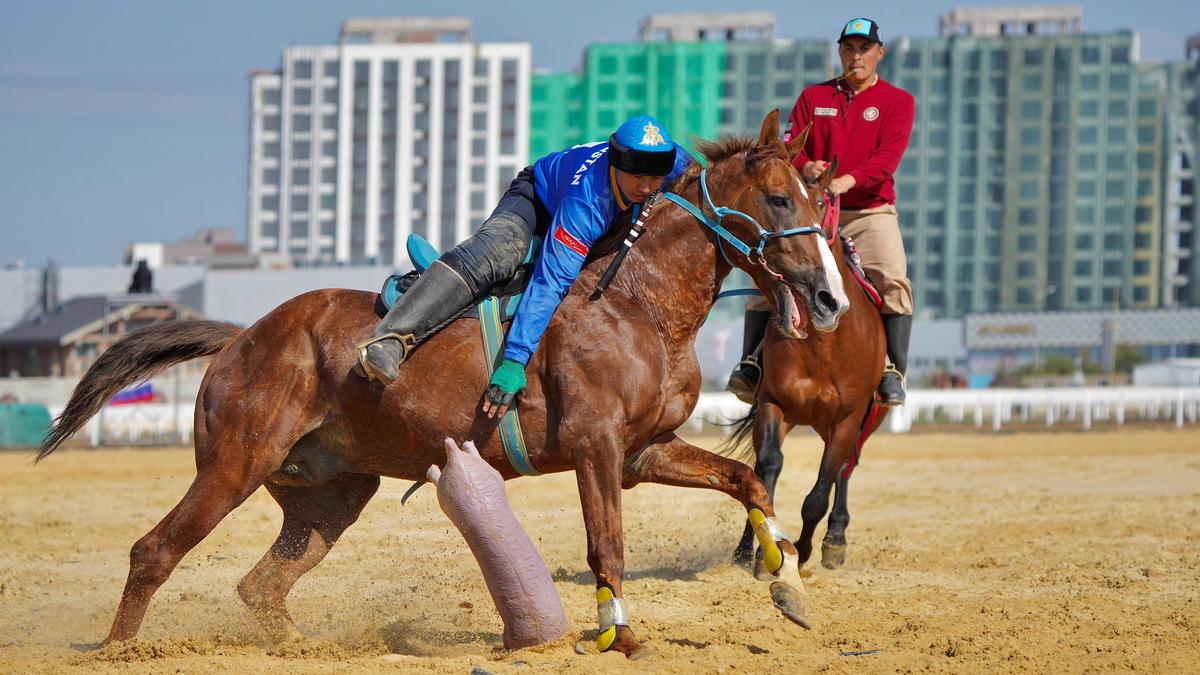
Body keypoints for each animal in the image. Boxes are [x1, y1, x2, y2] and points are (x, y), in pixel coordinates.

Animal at [37, 111, 844, 658]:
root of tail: (240, 337)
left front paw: (789, 583)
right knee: (153, 551)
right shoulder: (598, 447)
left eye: (816, 201)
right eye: (779, 200)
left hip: (331, 493)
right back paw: (120, 651)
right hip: (234, 464)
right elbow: (606, 545)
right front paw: (619, 634)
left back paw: (297, 648)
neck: (636, 300)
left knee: (261, 585)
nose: (831, 297)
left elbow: (746, 479)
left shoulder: (645, 450)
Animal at [720, 190, 892, 571]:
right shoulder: (773, 404)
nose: (827, 298)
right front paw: (755, 550)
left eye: (823, 203)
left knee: (845, 469)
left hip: (867, 421)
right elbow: (765, 469)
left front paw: (803, 550)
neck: (823, 346)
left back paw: (835, 539)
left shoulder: (847, 420)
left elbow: (819, 494)